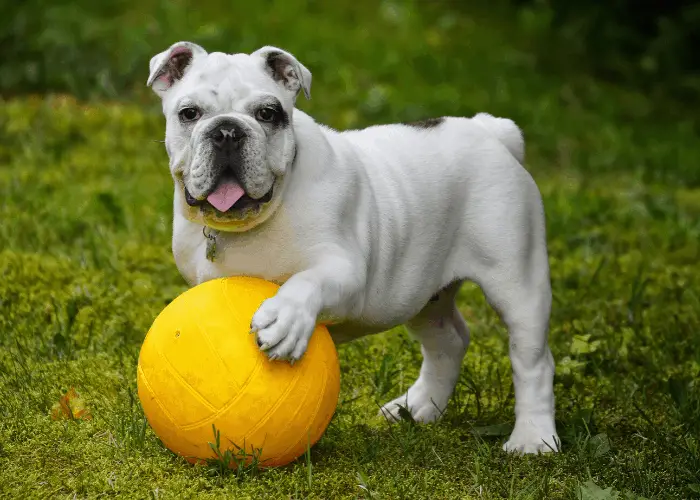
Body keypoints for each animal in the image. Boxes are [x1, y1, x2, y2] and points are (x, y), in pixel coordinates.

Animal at [146, 41, 556, 454]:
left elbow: (306, 282)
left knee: (533, 361)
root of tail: (489, 130)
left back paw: (533, 438)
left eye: (267, 113)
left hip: (516, 281)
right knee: (448, 341)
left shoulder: (344, 271)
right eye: (189, 113)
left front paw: (286, 319)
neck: (254, 221)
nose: (227, 131)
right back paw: (418, 407)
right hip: (421, 292)